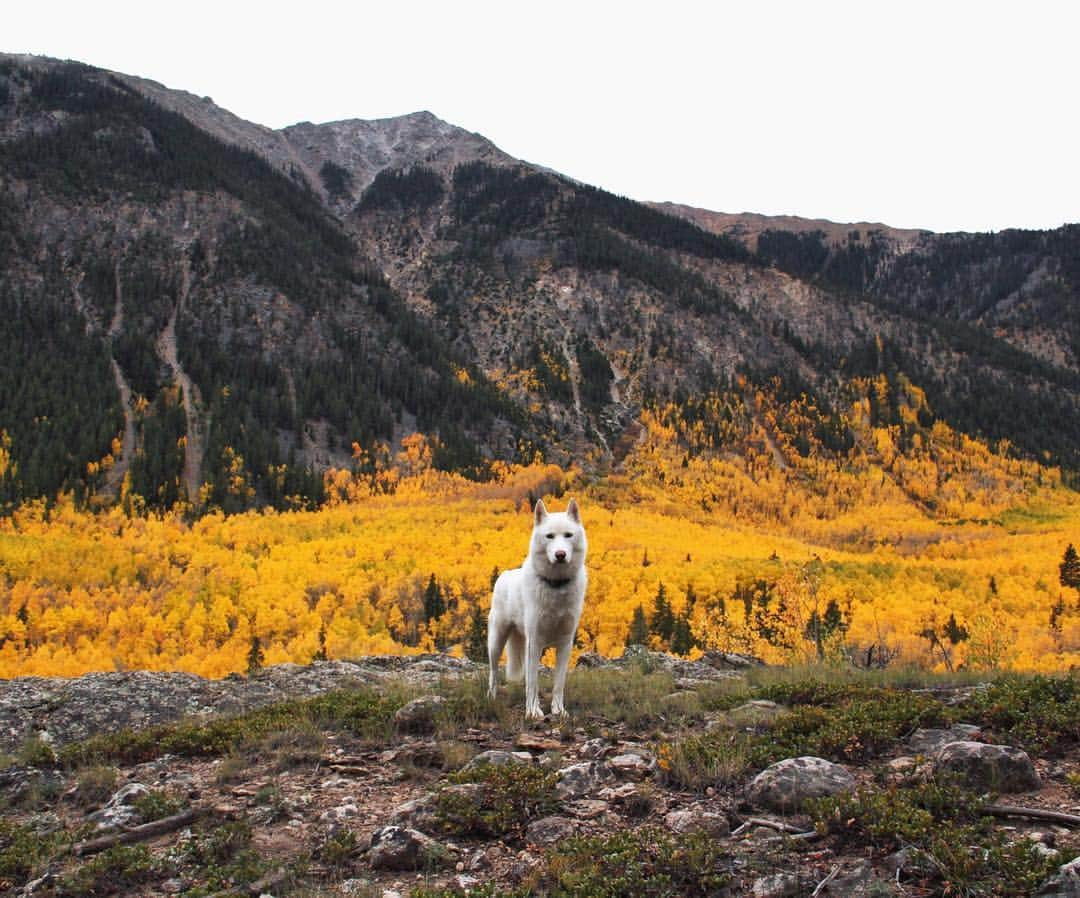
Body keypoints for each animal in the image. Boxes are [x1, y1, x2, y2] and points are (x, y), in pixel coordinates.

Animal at [492, 501, 591, 721]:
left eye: (568, 535)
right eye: (550, 536)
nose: (560, 554)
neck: (556, 586)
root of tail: (504, 575)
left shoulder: (565, 643)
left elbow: (558, 684)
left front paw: (558, 710)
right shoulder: (535, 642)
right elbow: (533, 684)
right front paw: (533, 711)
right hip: (496, 641)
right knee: (493, 673)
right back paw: (490, 697)